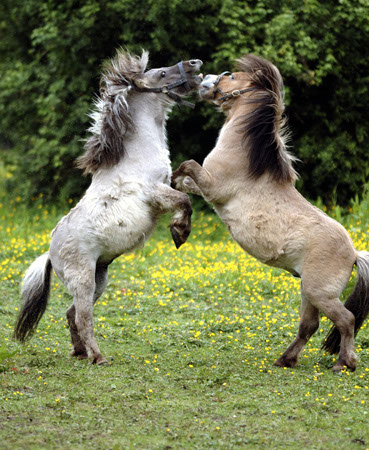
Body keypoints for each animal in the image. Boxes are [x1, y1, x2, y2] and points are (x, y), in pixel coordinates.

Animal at [15, 50, 201, 366]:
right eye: (162, 73)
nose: (195, 65)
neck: (137, 152)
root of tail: (51, 254)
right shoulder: (154, 192)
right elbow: (183, 202)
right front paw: (179, 232)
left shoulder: (167, 181)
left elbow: (185, 184)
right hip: (84, 281)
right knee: (83, 317)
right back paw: (98, 357)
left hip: (99, 279)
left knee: (71, 315)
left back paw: (80, 352)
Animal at [172, 55, 368, 372]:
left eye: (231, 76)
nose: (204, 80)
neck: (244, 156)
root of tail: (354, 254)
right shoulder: (205, 187)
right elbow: (184, 183)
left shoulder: (213, 187)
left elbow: (187, 165)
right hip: (308, 292)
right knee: (309, 326)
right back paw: (285, 360)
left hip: (319, 293)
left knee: (346, 320)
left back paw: (343, 363)